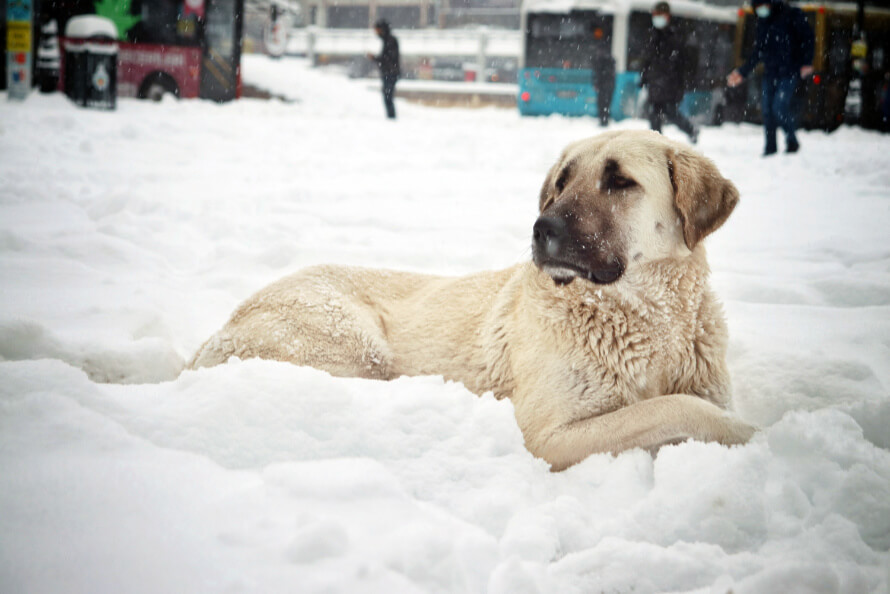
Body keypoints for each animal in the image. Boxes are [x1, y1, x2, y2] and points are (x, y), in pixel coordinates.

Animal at [189, 130, 756, 468]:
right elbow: (677, 408)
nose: (541, 228)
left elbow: (680, 403)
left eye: (620, 182)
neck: (648, 319)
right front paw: (751, 434)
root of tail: (213, 334)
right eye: (562, 181)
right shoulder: (550, 435)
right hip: (354, 346)